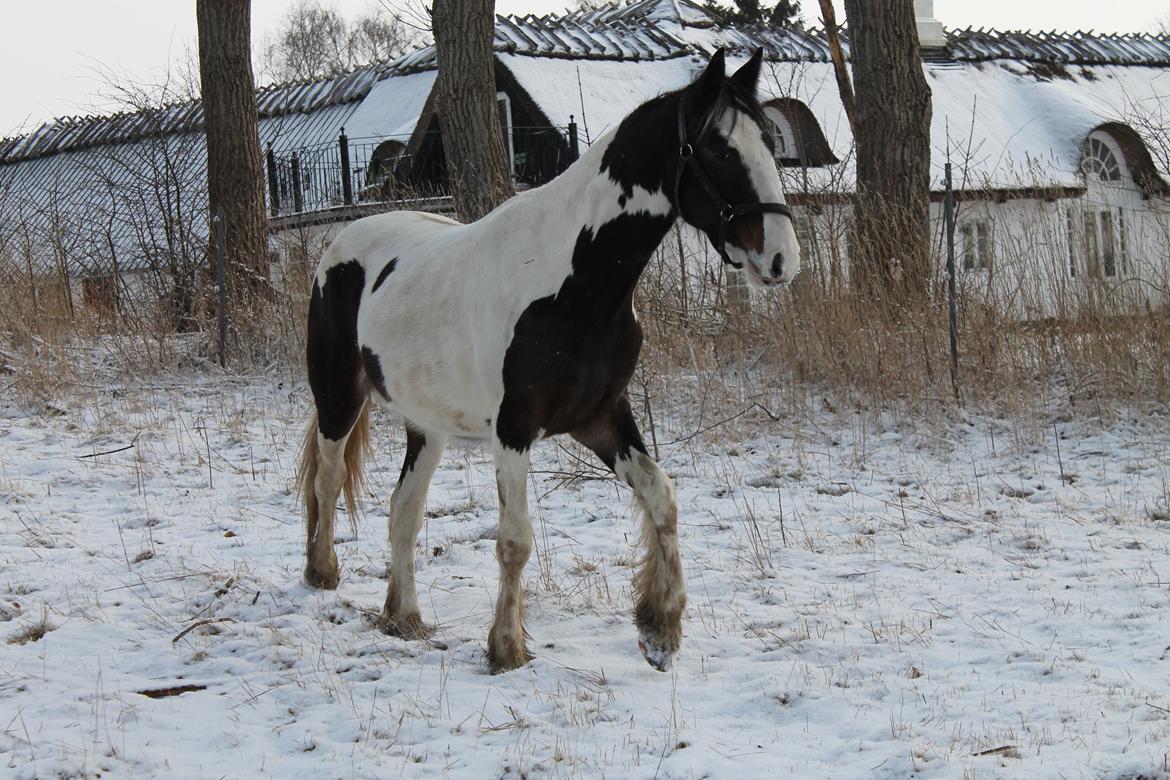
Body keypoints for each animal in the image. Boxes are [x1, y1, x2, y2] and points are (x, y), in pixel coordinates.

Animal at [297, 48, 800, 673]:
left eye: (770, 141)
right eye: (721, 149)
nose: (781, 259)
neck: (574, 283)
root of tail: (340, 247)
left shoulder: (600, 417)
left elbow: (661, 497)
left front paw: (660, 626)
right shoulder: (514, 430)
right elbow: (515, 540)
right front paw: (506, 647)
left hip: (427, 427)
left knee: (403, 510)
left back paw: (405, 616)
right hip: (338, 397)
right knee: (328, 479)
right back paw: (323, 572)